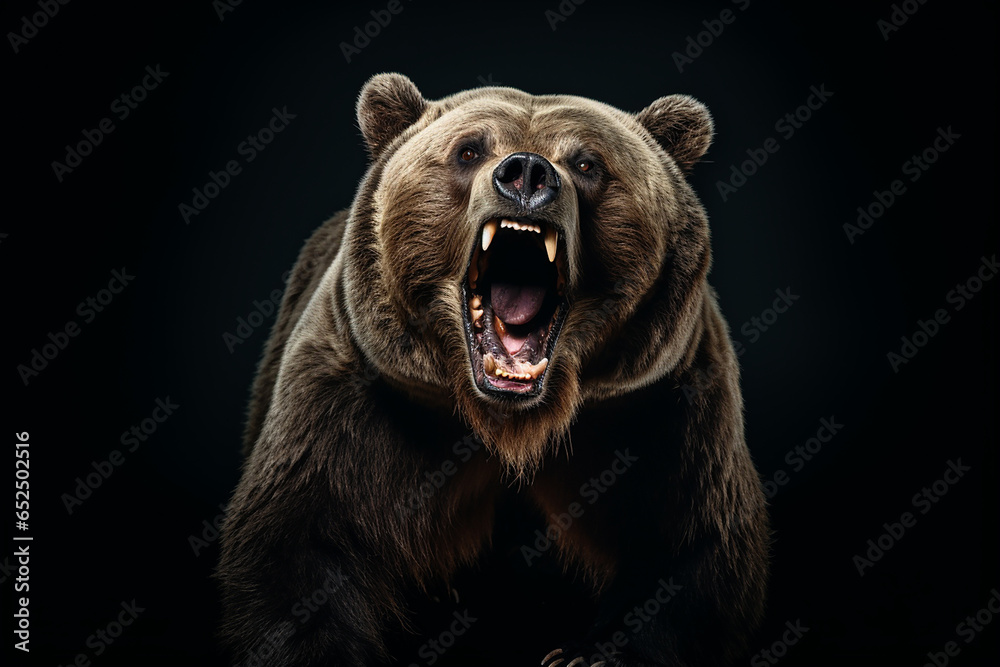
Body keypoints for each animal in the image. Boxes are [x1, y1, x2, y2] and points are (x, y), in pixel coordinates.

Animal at [218, 73, 769, 667]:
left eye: (587, 163)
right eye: (468, 150)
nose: (526, 172)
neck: (513, 422)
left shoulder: (665, 405)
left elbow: (692, 547)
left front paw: (583, 654)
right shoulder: (355, 398)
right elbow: (300, 547)